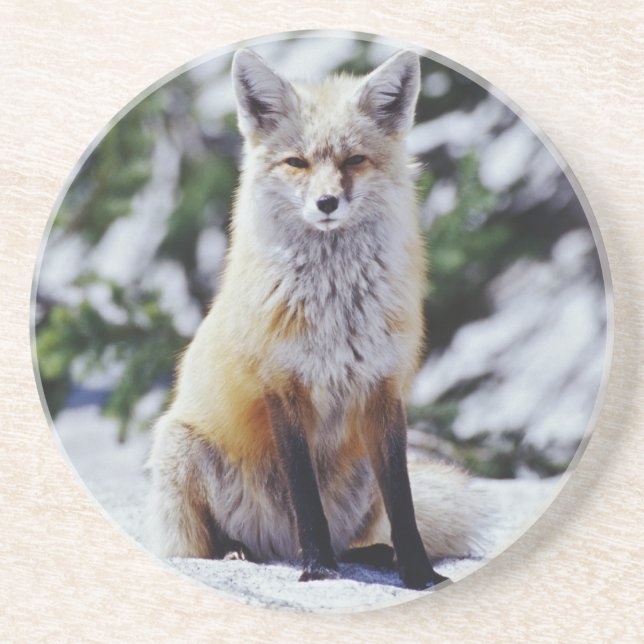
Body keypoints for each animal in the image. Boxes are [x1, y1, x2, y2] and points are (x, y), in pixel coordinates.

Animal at [147, 47, 490, 590]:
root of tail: (276, 547)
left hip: (360, 474)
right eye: (297, 162)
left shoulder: (383, 388)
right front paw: (319, 571)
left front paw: (420, 575)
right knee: (205, 544)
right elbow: (305, 497)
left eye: (353, 160)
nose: (327, 203)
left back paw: (375, 554)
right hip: (179, 446)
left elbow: (404, 503)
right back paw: (239, 551)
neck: (336, 310)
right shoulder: (282, 387)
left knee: (361, 534)